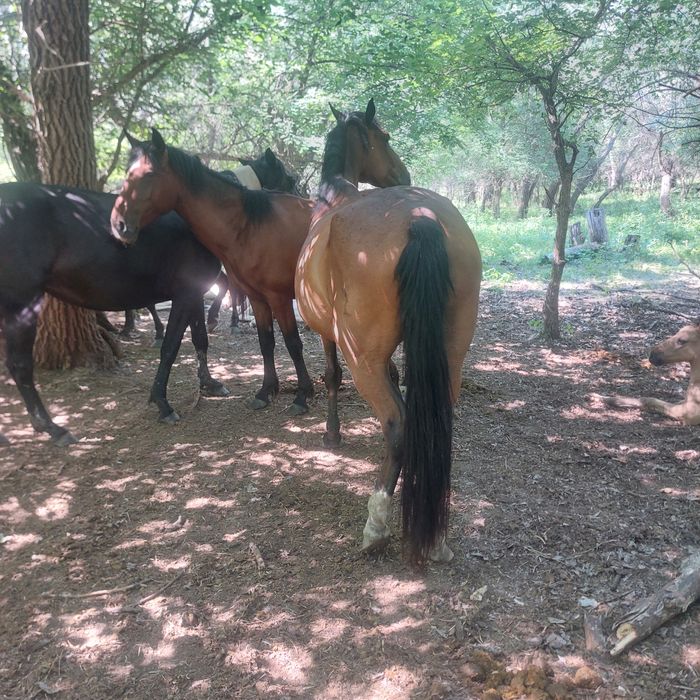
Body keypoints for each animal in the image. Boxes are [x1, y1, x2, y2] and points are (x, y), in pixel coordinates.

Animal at [110, 131, 316, 415]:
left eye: (149, 174)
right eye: (128, 173)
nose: (118, 224)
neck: (251, 225)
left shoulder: (279, 298)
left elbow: (293, 344)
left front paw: (302, 395)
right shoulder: (258, 298)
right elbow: (266, 342)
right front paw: (266, 391)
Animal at [295, 100, 482, 563]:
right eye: (385, 138)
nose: (403, 175)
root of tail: (420, 216)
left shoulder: (328, 334)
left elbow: (331, 376)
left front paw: (332, 434)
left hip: (363, 358)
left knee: (397, 424)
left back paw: (376, 524)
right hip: (450, 355)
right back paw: (436, 536)